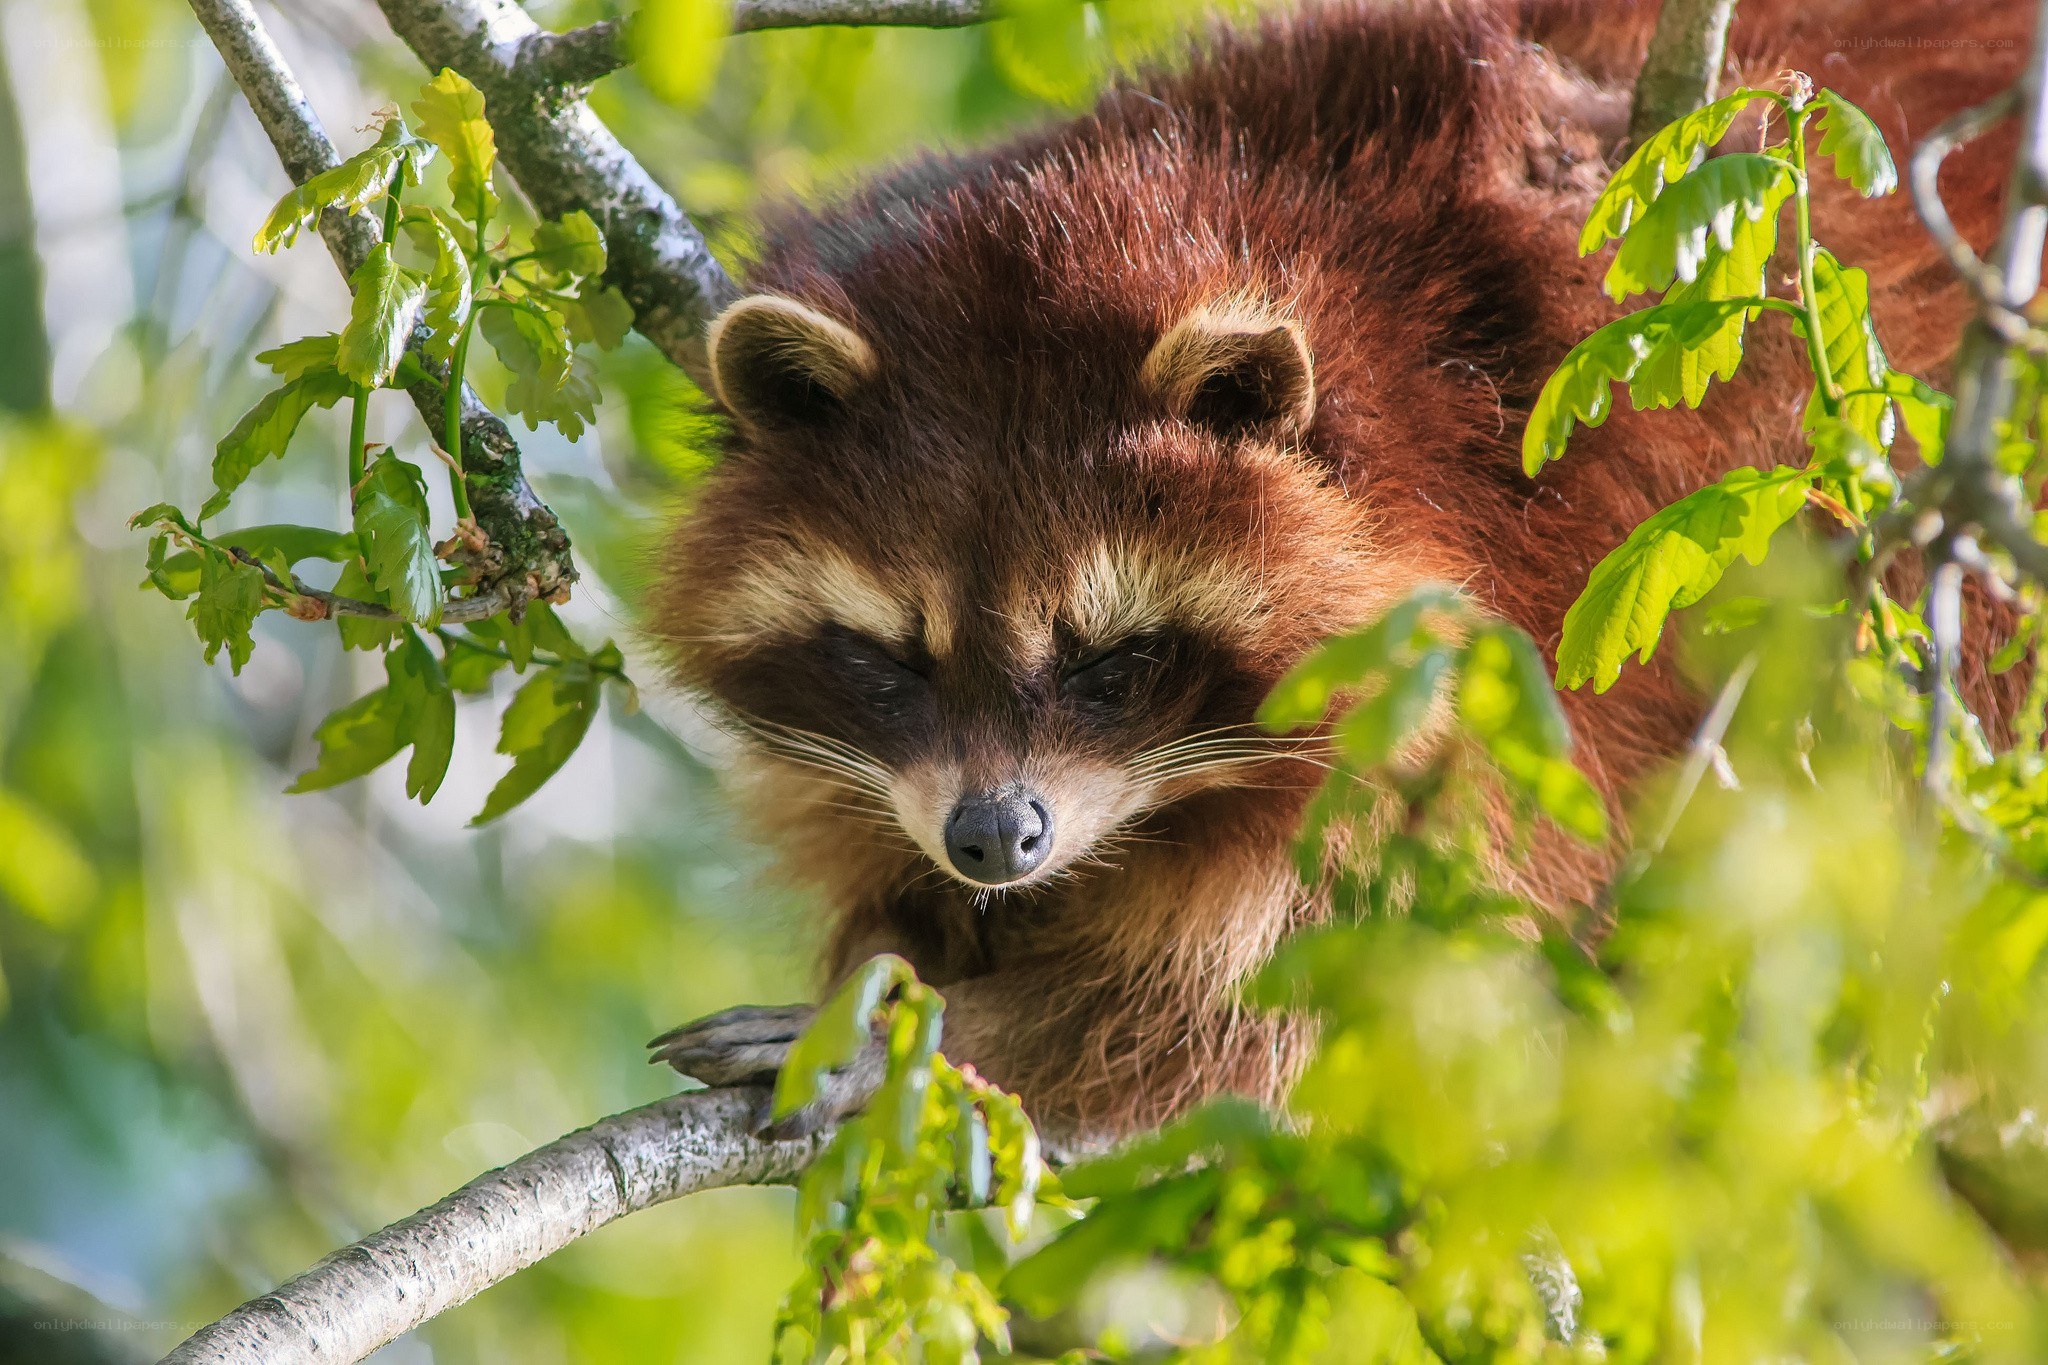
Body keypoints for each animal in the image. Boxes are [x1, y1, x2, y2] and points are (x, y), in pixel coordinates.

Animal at [647, 0, 2026, 1144]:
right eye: (892, 664)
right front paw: (913, 956)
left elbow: (1306, 990)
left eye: (1114, 663)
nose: (991, 839)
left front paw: (932, 1034)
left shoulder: (1548, 607)